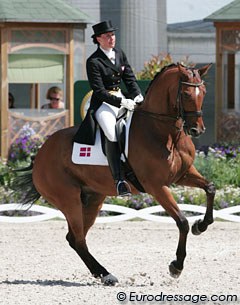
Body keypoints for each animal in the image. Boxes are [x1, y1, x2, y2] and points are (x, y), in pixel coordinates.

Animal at [12, 63, 215, 284]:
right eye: (186, 94)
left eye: (204, 92)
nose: (197, 130)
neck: (162, 131)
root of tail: (40, 153)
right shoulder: (156, 186)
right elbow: (182, 221)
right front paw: (176, 266)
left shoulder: (183, 175)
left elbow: (210, 188)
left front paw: (201, 226)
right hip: (69, 200)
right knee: (78, 238)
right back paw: (106, 274)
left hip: (93, 198)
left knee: (74, 238)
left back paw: (102, 273)